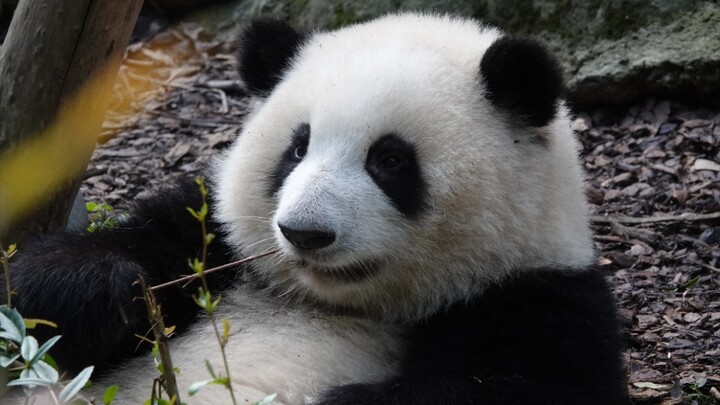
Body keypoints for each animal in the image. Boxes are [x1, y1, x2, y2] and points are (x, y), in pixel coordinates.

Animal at [2, 12, 628, 404]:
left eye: (390, 161)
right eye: (297, 148)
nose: (304, 233)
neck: (338, 303)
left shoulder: (536, 296)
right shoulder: (218, 243)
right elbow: (47, 296)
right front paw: (109, 289)